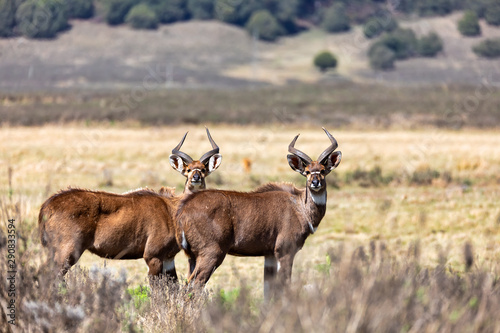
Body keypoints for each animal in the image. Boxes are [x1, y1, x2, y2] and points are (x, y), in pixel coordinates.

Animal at [40, 128, 224, 278]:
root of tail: (48, 206)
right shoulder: (153, 256)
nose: (196, 178)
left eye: (204, 169)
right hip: (67, 252)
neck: (171, 209)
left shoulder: (168, 259)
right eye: (187, 170)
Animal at [174, 127, 342, 296]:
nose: (315, 182)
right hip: (212, 254)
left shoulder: (269, 255)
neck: (299, 206)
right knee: (193, 286)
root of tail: (184, 209)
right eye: (307, 171)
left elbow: (268, 289)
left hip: (193, 257)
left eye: (322, 170)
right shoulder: (285, 252)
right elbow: (284, 285)